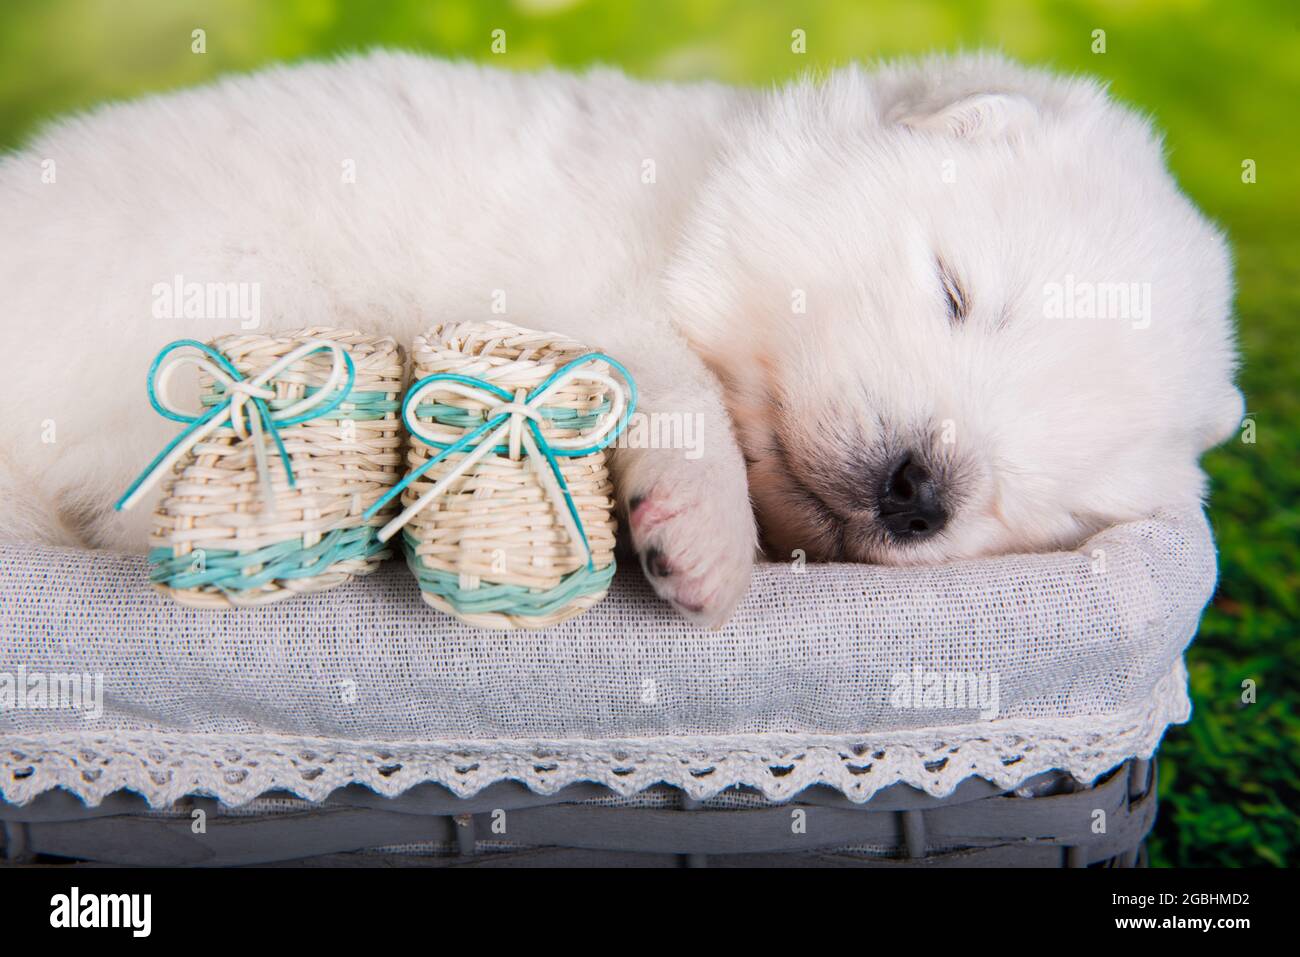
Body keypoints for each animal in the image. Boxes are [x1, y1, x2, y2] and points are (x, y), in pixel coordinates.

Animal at [0, 50, 1237, 629]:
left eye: (1052, 505)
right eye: (955, 291)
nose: (916, 491)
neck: (686, 206)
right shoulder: (583, 286)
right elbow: (675, 390)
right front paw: (705, 541)